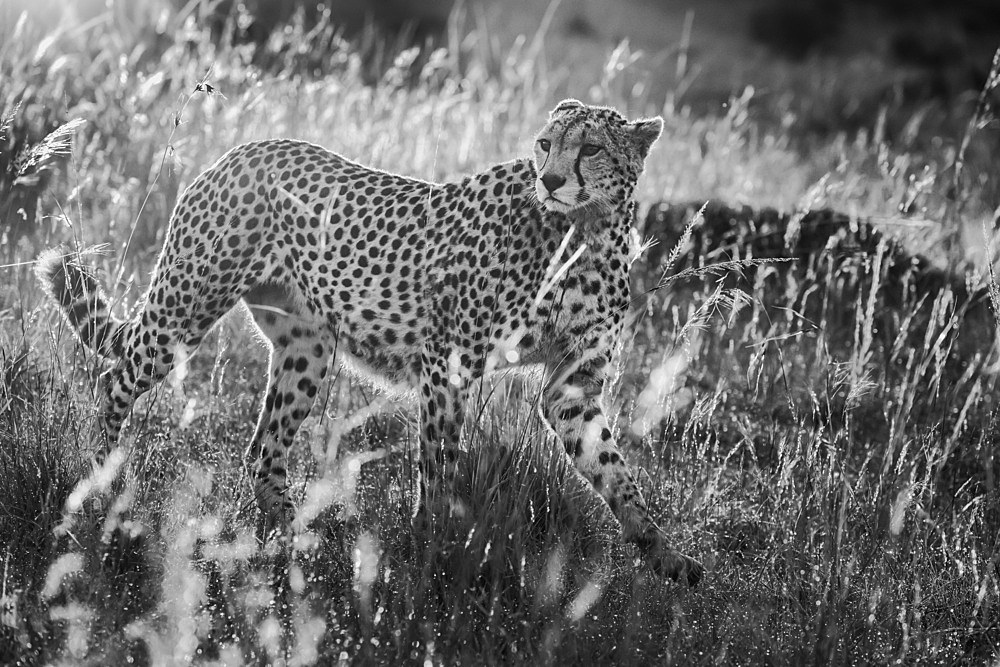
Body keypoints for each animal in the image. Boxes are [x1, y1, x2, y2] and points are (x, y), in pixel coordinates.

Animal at [37, 98, 704, 584]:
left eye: (590, 147)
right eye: (545, 143)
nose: (553, 178)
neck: (586, 230)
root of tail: (243, 147)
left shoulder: (573, 388)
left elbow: (616, 474)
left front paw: (665, 554)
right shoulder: (449, 365)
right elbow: (438, 468)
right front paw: (431, 552)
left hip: (307, 349)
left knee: (262, 449)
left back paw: (296, 541)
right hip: (186, 309)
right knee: (115, 377)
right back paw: (103, 485)